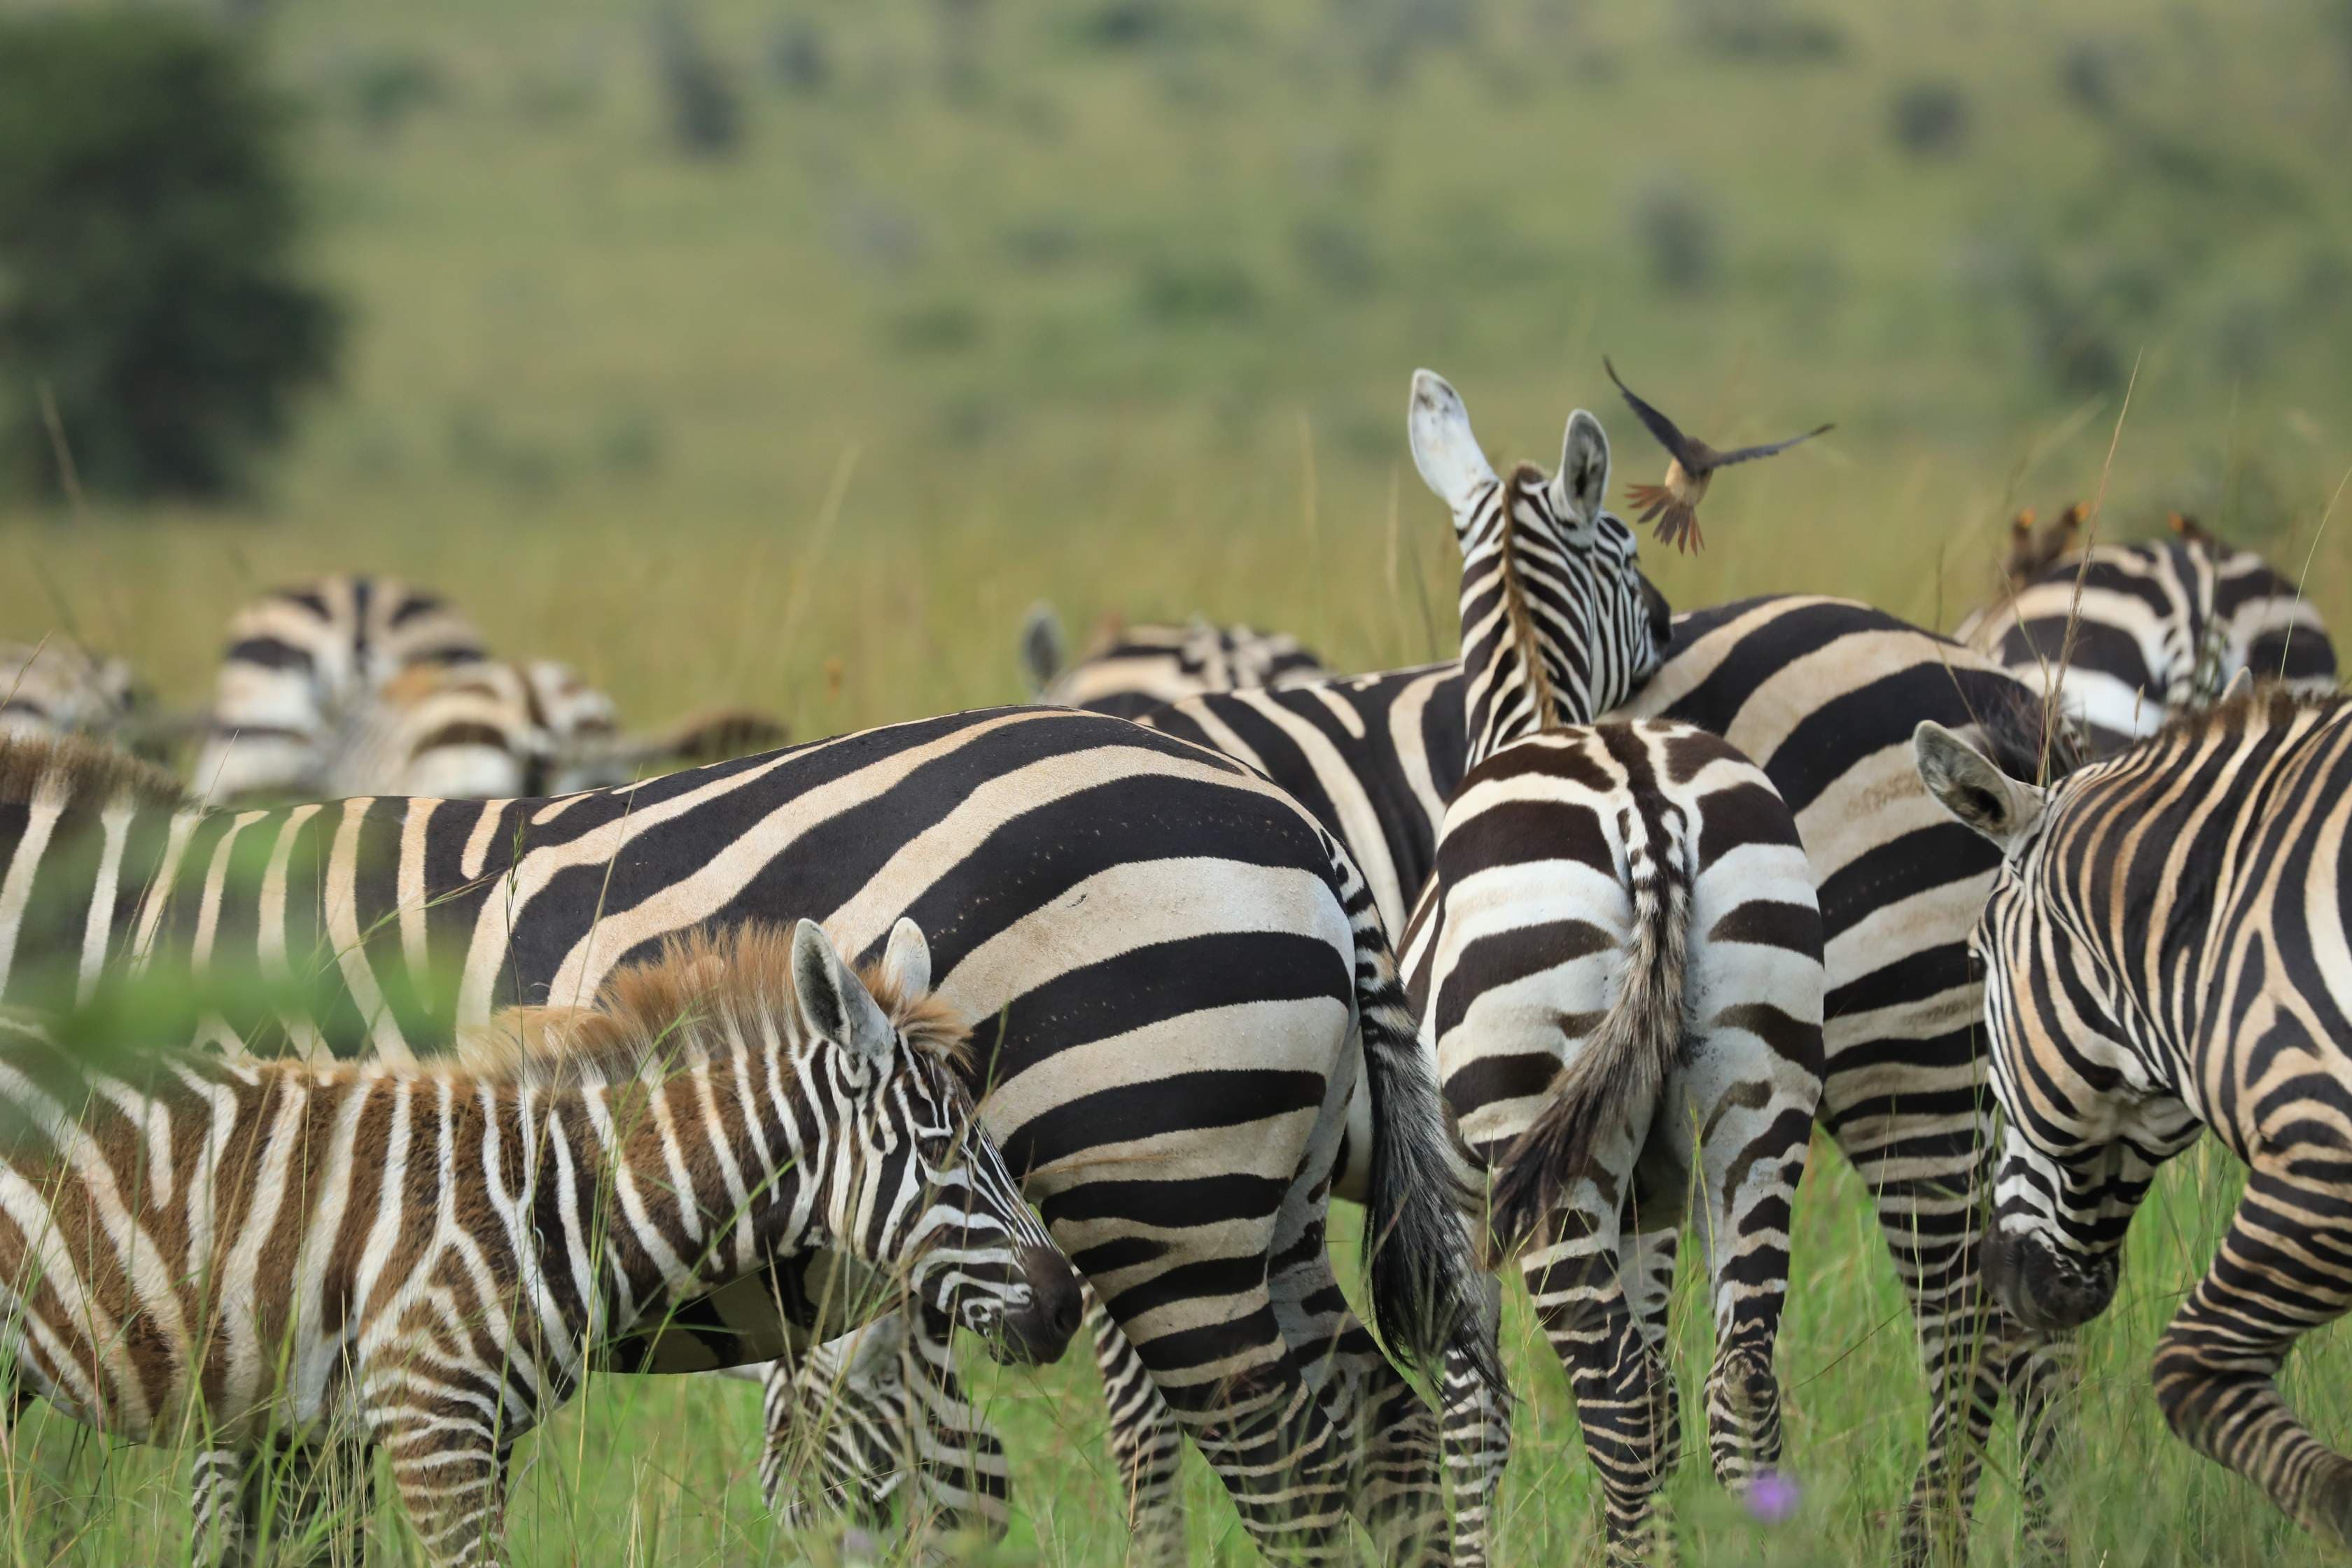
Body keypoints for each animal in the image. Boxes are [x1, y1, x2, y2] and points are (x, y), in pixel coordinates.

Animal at [1392, 374, 1824, 1561]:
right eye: (1632, 556)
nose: (1674, 624)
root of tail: (1643, 798)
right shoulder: (1654, 1201)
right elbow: (1671, 1406)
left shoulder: (1455, 1196)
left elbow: (1474, 1421)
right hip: (1756, 1102)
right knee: (1739, 1385)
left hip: (1536, 1143)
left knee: (1618, 1405)